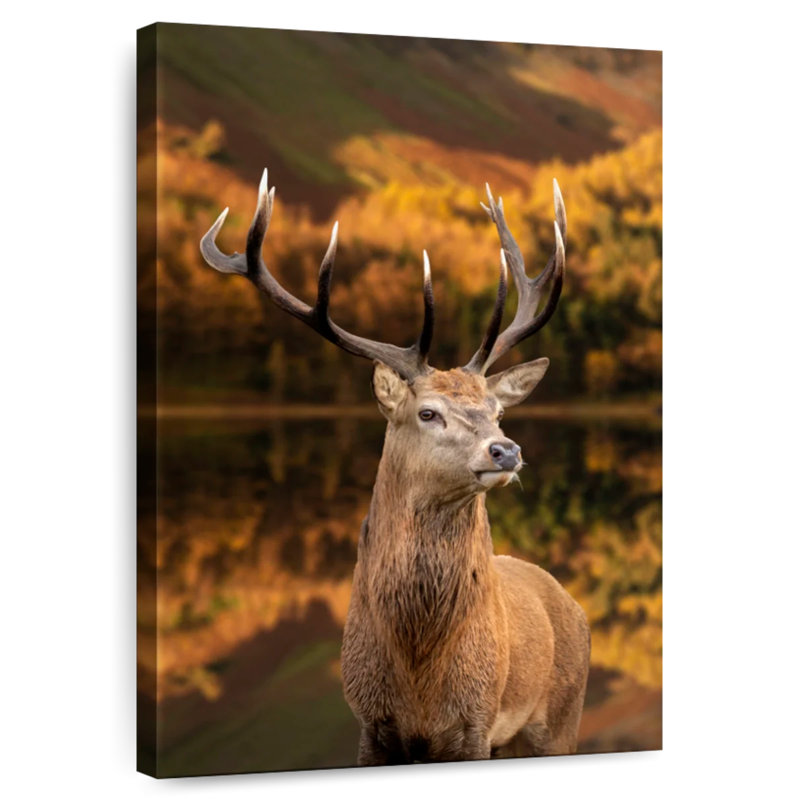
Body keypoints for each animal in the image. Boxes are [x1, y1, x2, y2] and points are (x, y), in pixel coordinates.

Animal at [200, 169, 590, 765]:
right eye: (428, 412)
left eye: (498, 411)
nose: (506, 450)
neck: (418, 673)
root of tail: (571, 603)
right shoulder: (369, 721)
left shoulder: (476, 723)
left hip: (561, 717)